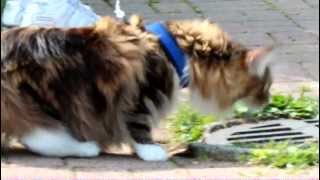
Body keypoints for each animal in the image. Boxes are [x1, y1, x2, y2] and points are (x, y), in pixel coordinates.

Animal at [1, 15, 274, 161]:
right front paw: (151, 151)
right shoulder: (141, 95)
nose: (268, 100)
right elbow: (138, 127)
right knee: (39, 136)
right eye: (266, 85)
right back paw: (86, 148)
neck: (171, 50)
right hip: (41, 95)